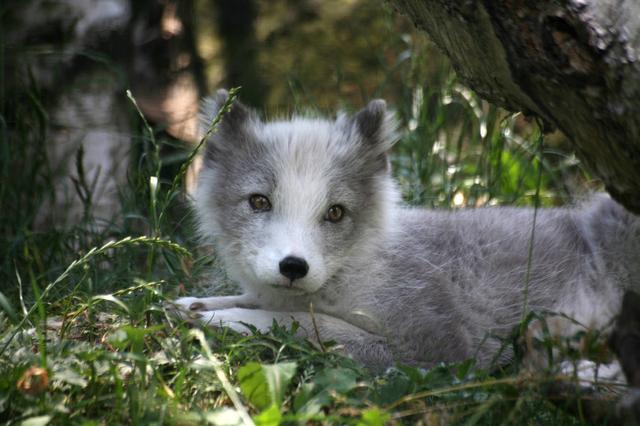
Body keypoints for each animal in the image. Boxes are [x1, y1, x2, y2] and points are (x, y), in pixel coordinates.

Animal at [175, 90, 640, 372]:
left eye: (336, 213)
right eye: (259, 202)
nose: (293, 267)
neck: (360, 265)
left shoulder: (435, 350)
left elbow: (304, 323)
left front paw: (223, 317)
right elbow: (259, 300)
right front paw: (191, 304)